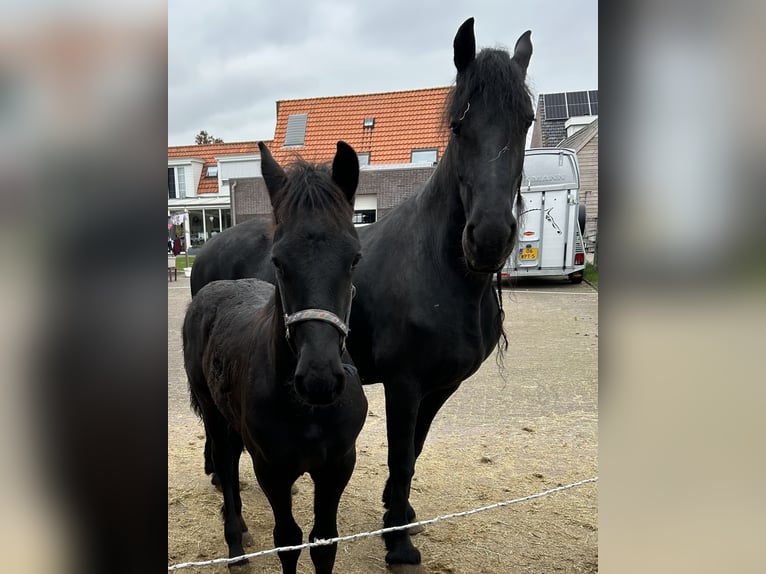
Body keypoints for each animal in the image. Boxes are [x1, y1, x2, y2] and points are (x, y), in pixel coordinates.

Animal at [183, 141, 368, 573]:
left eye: (354, 258)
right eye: (277, 260)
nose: (319, 379)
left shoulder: (337, 465)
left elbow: (324, 541)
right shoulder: (272, 468)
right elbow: (287, 540)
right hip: (214, 415)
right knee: (225, 465)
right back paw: (236, 544)